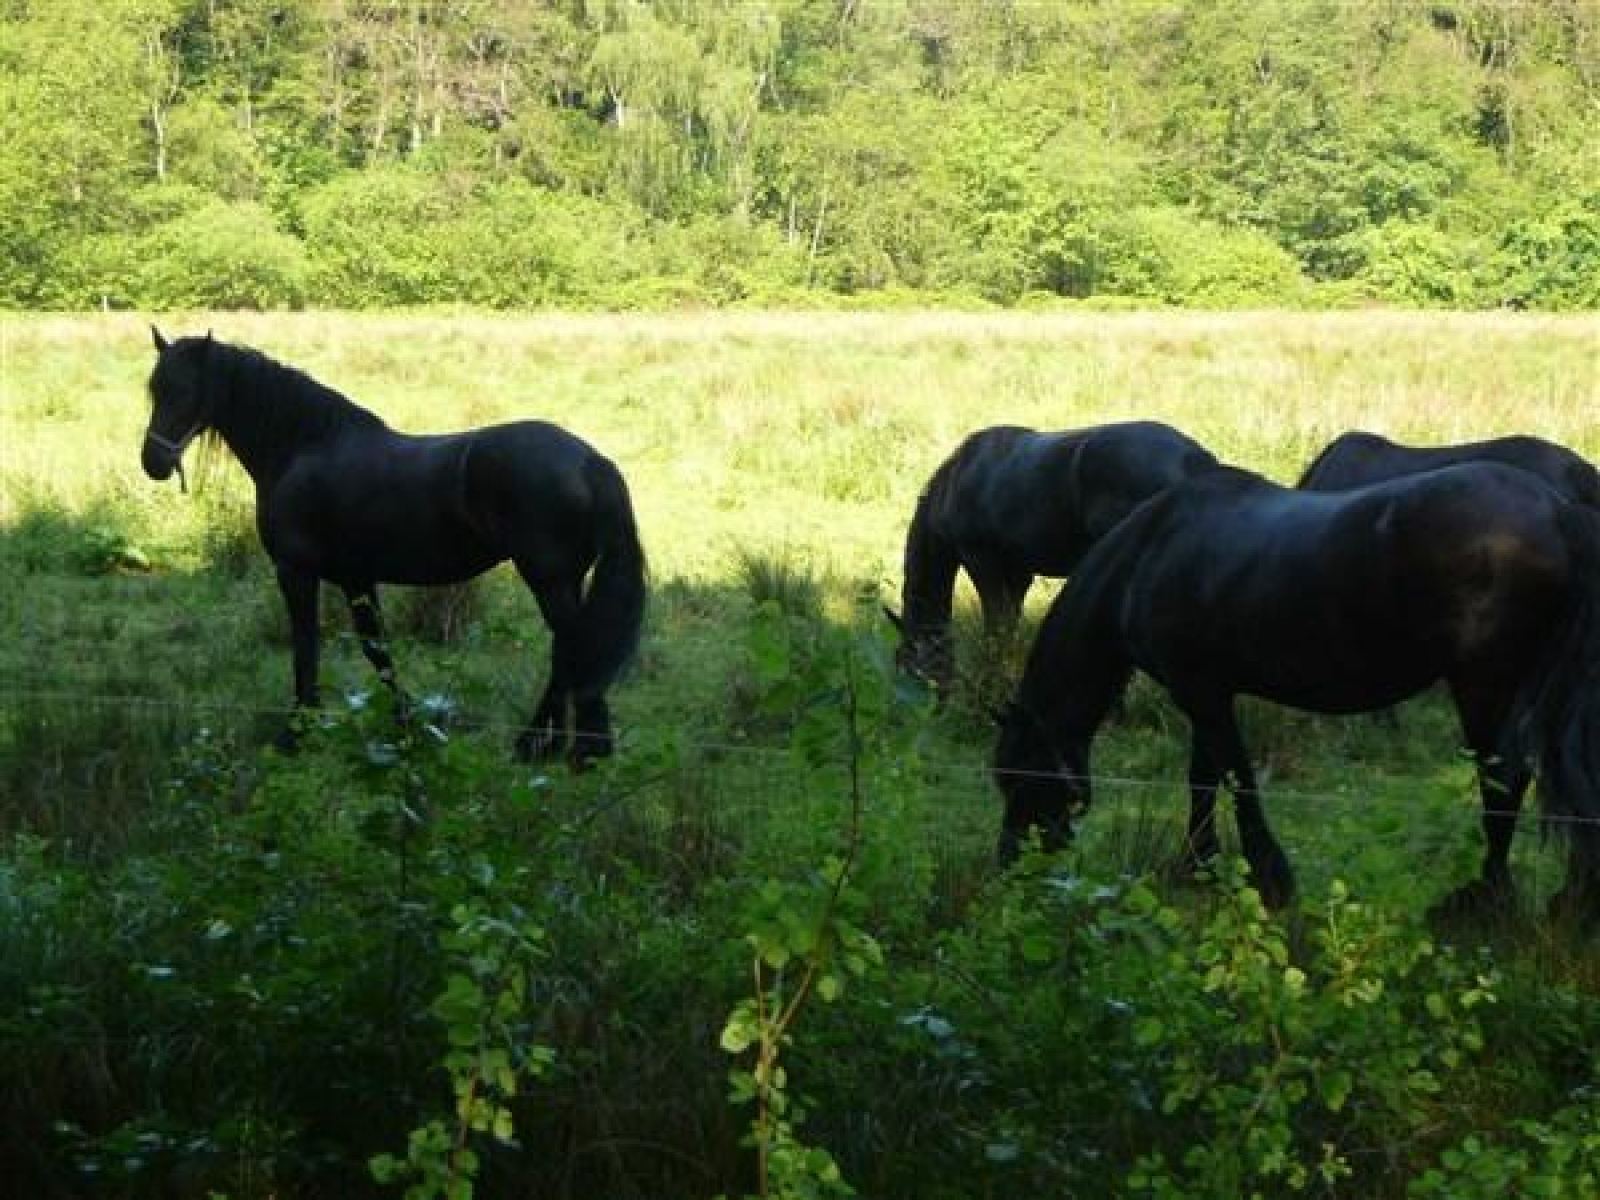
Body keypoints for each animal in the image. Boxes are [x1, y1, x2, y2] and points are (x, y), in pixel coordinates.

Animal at [142, 324, 643, 764]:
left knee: (573, 648)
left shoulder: (297, 572)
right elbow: (377, 653)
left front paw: (297, 734)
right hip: (564, 581)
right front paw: (407, 727)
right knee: (568, 653)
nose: (154, 462)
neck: (304, 447)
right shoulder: (357, 579)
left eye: (184, 391)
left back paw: (565, 748)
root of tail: (590, 461)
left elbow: (307, 650)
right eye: (154, 389)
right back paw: (547, 746)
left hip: (549, 580)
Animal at [889, 422, 1209, 691]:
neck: (955, 480)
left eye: (905, 664)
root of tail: (1195, 460)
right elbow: (1008, 627)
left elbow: (996, 629)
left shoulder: (980, 559)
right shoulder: (1018, 574)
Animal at [985, 464, 1600, 928]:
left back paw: (1479, 899)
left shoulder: (1200, 691)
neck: (1147, 556)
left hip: (1485, 689)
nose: (1010, 867)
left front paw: (1269, 880)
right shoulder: (1205, 692)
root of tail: (1558, 512)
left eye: (1017, 777)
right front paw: (1199, 866)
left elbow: (1236, 780)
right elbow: (1203, 779)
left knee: (1504, 783)